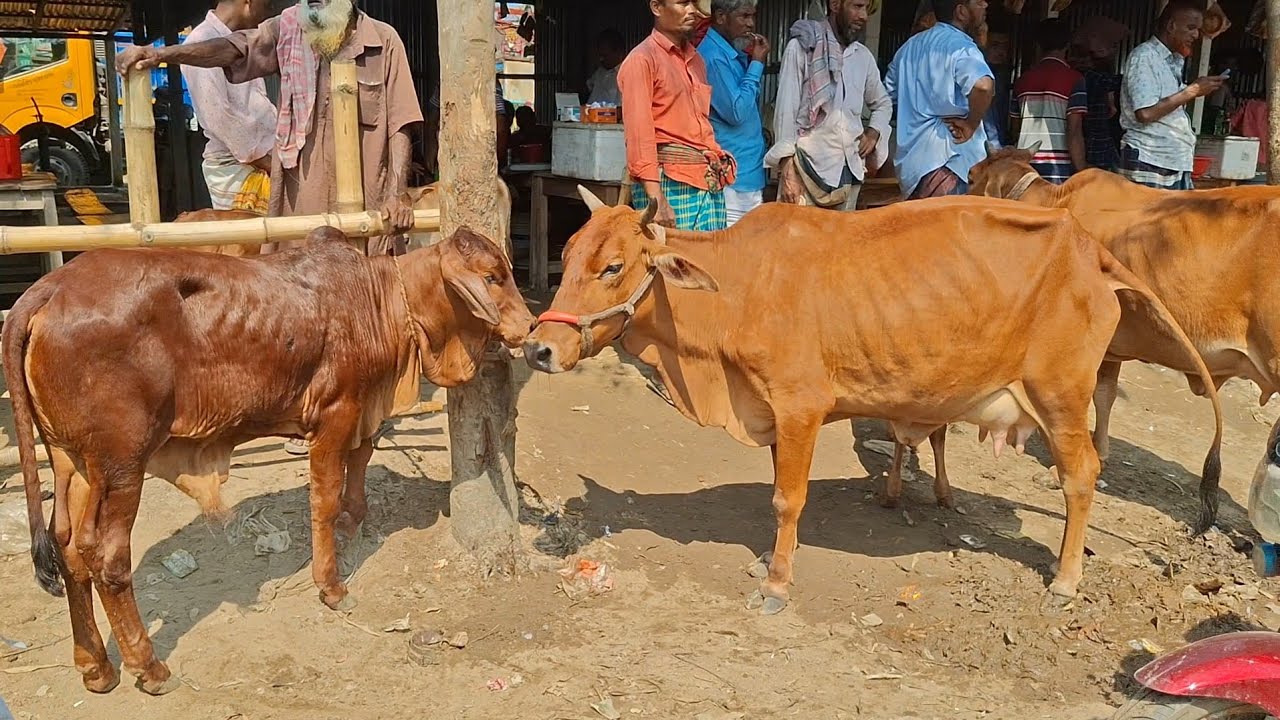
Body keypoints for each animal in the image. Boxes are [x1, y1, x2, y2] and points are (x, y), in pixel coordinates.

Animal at [3, 225, 534, 695]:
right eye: (492, 276)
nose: (529, 326)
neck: (379, 298)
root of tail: (50, 288)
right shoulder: (336, 414)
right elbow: (324, 499)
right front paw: (331, 587)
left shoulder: (363, 410)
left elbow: (361, 460)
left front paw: (354, 523)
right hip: (122, 464)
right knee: (106, 557)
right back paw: (148, 667)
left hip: (72, 462)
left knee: (67, 547)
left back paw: (96, 666)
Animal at [523, 189, 1223, 617]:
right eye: (568, 255)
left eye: (613, 267)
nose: (538, 348)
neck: (738, 289)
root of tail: (1086, 247)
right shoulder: (776, 413)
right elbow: (777, 492)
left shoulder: (800, 405)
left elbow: (787, 499)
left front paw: (776, 584)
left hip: (1061, 397)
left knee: (1082, 477)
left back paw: (1066, 581)